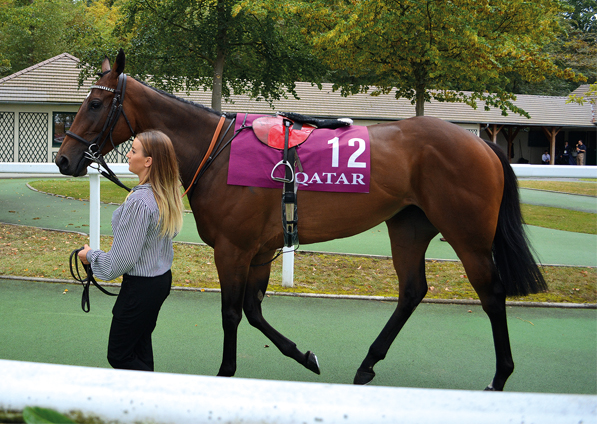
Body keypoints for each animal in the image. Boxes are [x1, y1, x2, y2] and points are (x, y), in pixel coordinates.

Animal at [56, 50, 544, 390]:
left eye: (95, 103)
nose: (64, 159)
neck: (218, 152)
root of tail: (481, 143)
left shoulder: (233, 249)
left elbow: (231, 313)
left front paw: (225, 372)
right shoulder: (260, 250)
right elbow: (254, 311)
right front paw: (303, 356)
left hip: (467, 233)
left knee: (492, 293)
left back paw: (500, 376)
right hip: (409, 225)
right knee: (411, 291)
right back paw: (368, 364)